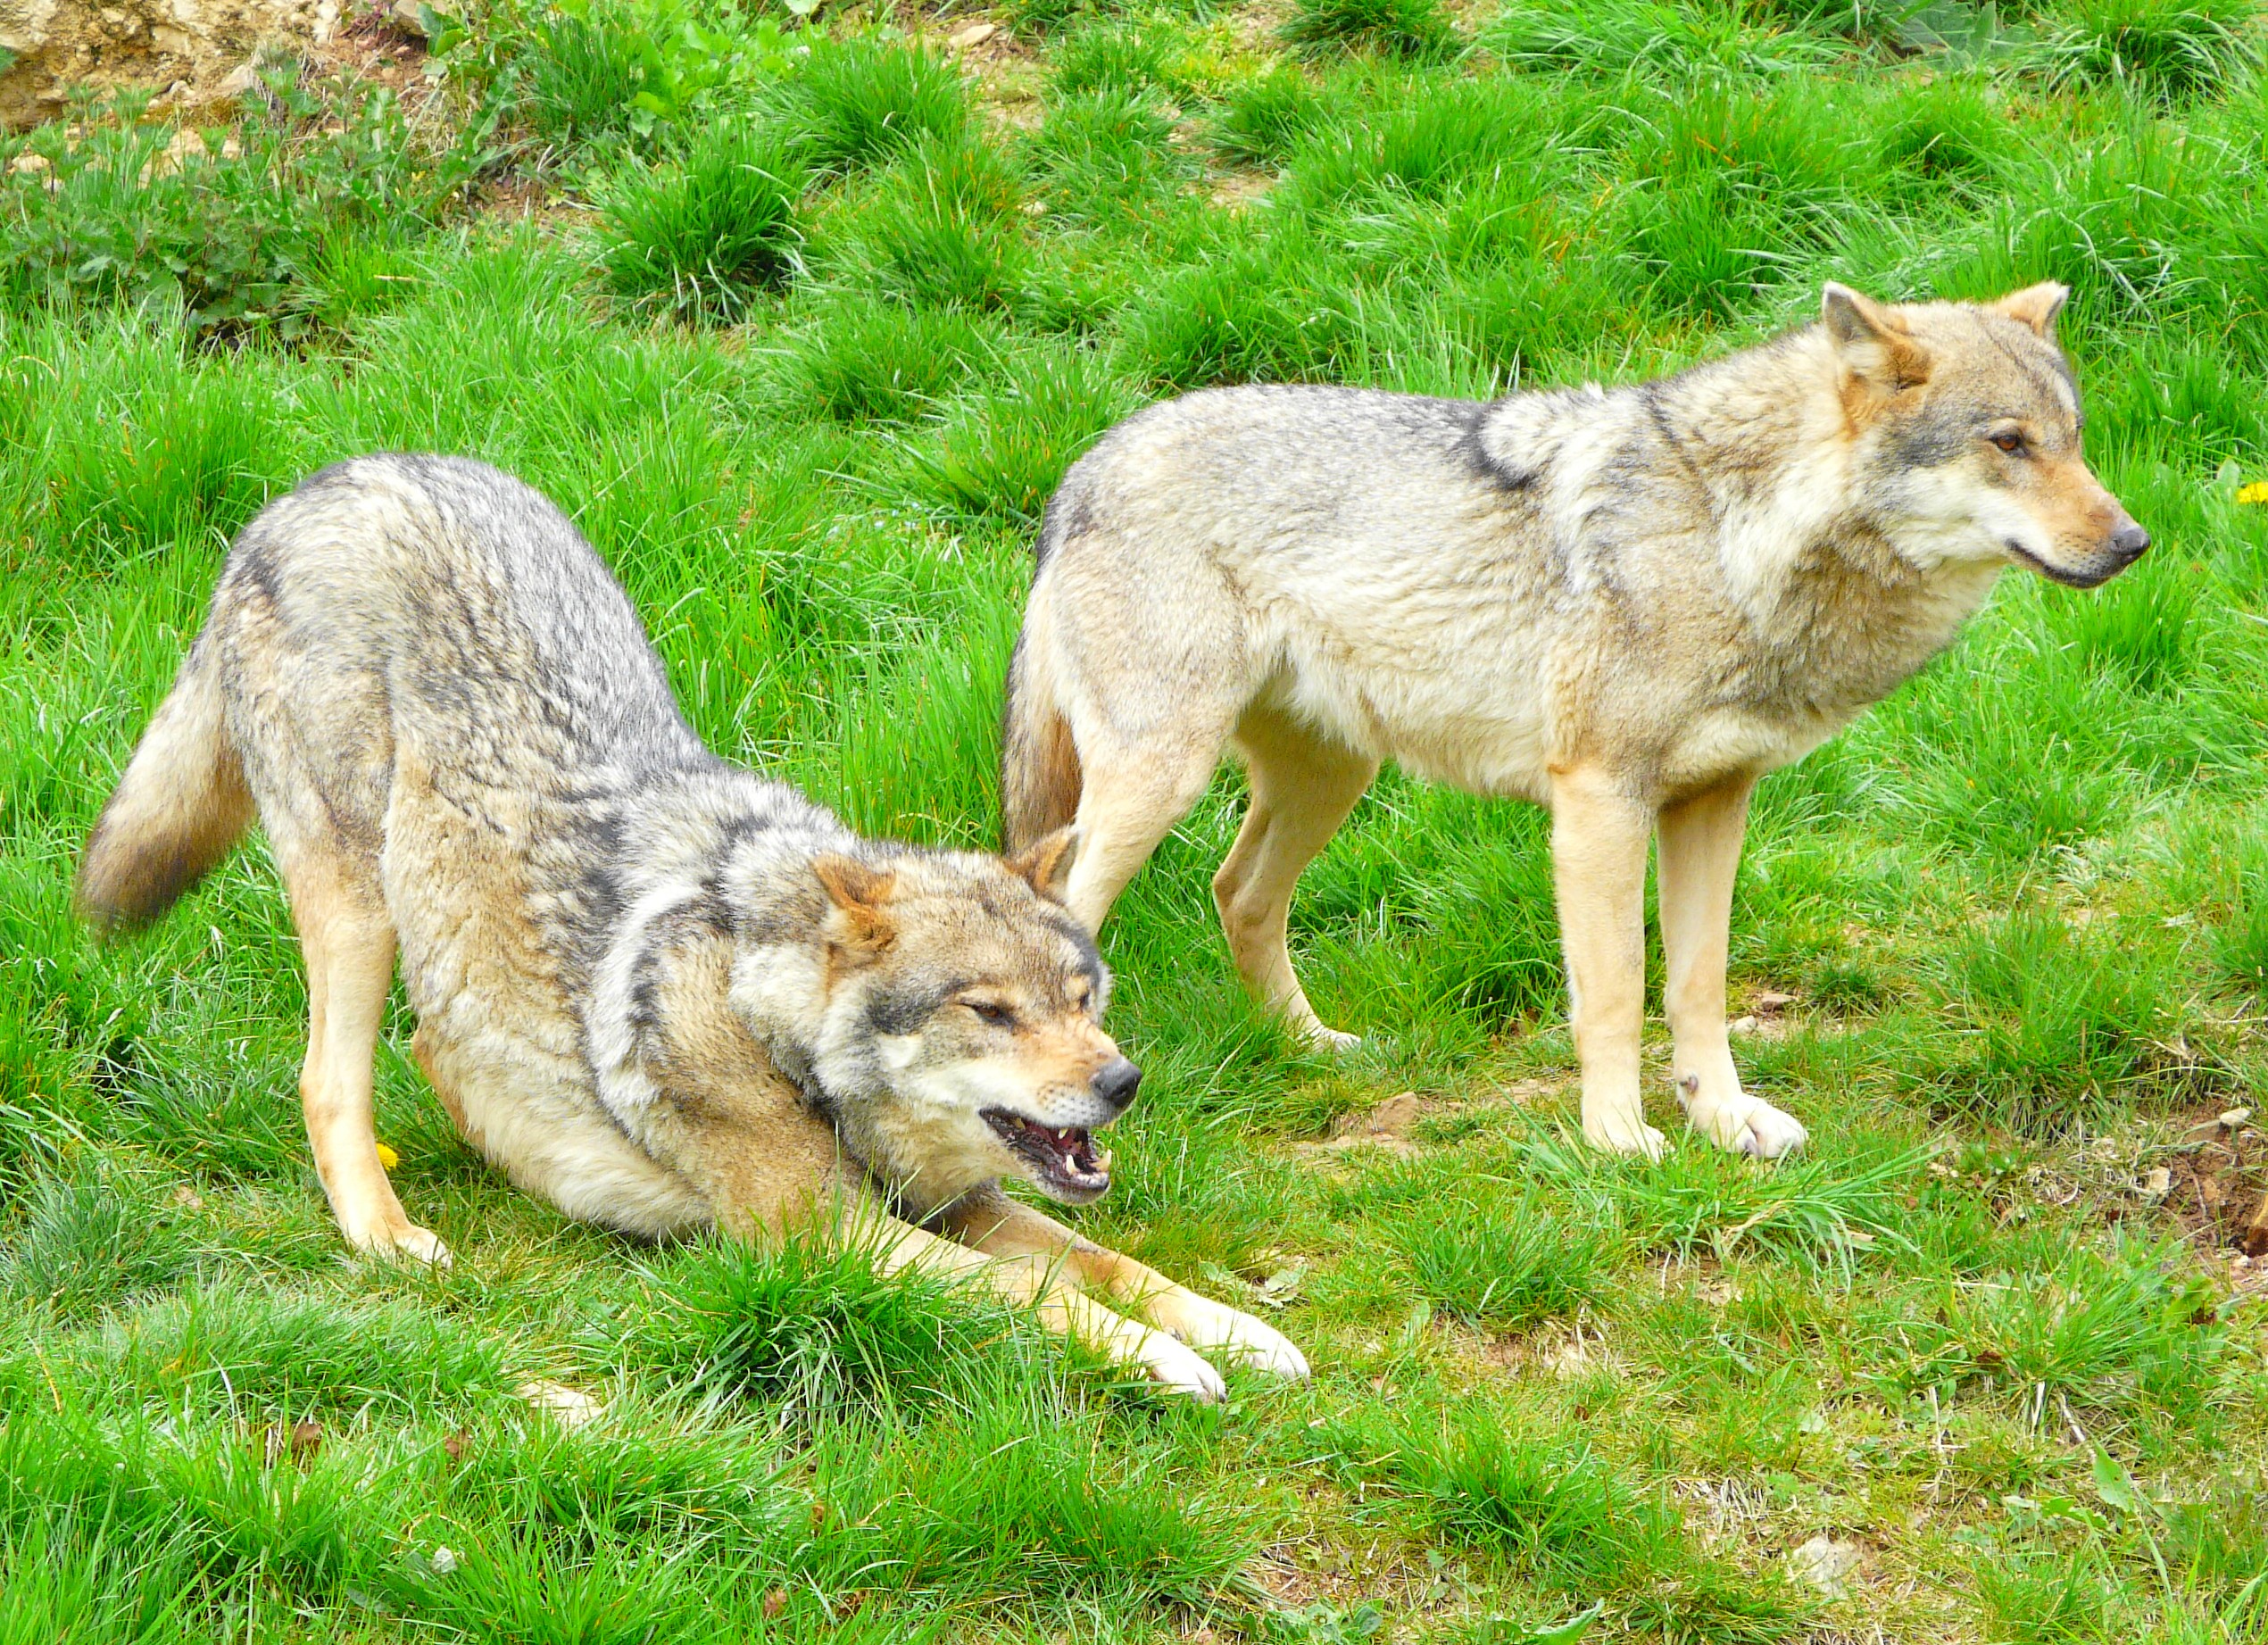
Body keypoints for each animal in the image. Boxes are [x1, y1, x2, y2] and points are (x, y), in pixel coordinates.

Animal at [78, 454, 1307, 1401]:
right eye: (991, 1012)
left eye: (1084, 999)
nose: (1122, 1082)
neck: (769, 1022)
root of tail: (323, 484)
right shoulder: (834, 1239)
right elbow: (1041, 1294)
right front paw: (1167, 1363)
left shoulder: (968, 1206)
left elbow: (1113, 1266)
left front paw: (1242, 1331)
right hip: (355, 903)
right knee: (329, 1080)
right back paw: (385, 1236)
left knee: (436, 1047)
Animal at [1001, 282, 2147, 1160]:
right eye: (2009, 443)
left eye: (2076, 442)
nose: (2133, 543)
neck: (1731, 540)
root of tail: (1086, 464)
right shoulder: (1599, 798)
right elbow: (1616, 992)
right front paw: (1619, 1141)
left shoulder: (1715, 801)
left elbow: (1697, 983)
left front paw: (1724, 1122)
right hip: (1161, 781)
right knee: (1065, 907)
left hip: (1331, 780)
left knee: (1236, 893)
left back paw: (1310, 1047)